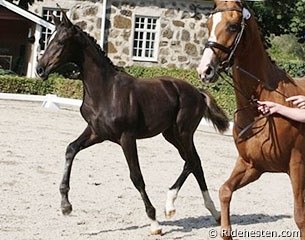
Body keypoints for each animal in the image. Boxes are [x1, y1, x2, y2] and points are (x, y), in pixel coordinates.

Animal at [35, 12, 228, 233]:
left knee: (193, 161)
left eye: (60, 42)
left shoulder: (126, 137)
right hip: (171, 135)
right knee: (193, 162)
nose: (40, 69)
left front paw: (154, 222)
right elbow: (70, 149)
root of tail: (198, 92)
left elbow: (136, 177)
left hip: (183, 133)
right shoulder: (96, 132)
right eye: (48, 38)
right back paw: (201, 210)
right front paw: (65, 205)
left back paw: (185, 207)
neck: (105, 90)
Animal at [196, 0, 304, 240]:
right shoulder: (252, 165)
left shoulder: (297, 164)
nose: (205, 70)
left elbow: (300, 217)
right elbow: (225, 191)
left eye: (233, 26)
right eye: (208, 24)